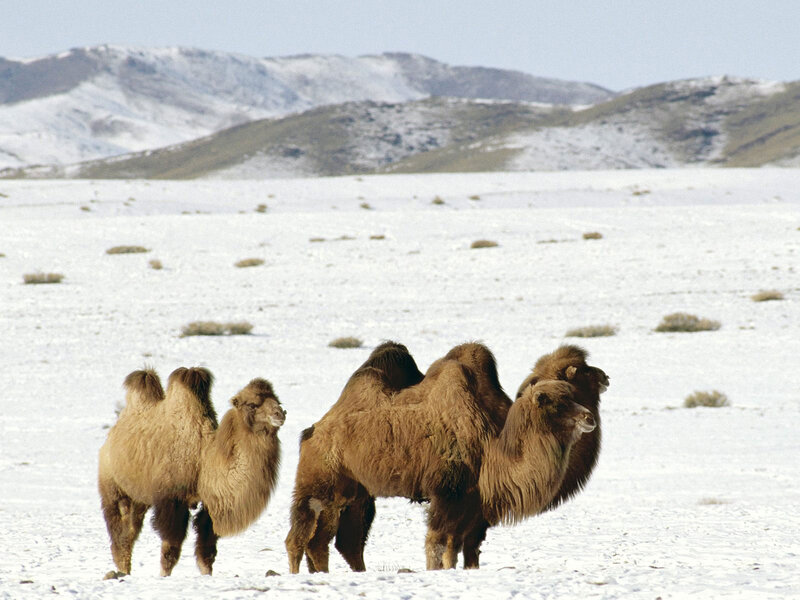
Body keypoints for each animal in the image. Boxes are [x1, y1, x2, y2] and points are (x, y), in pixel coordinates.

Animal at [98, 367, 285, 577]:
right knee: (119, 529)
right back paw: (122, 570)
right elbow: (170, 548)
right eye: (252, 404)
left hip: (140, 496)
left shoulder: (210, 504)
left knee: (130, 530)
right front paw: (164, 576)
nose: (280, 414)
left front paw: (206, 575)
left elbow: (206, 548)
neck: (203, 460)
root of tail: (111, 436)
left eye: (278, 401)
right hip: (112, 485)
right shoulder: (172, 500)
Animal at [285, 343, 596, 573]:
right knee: (299, 537)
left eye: (572, 394)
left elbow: (457, 547)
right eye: (556, 402)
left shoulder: (471, 500)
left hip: (353, 493)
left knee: (334, 541)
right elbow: (437, 543)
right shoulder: (447, 492)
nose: (589, 417)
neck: (491, 445)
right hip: (318, 482)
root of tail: (312, 431)